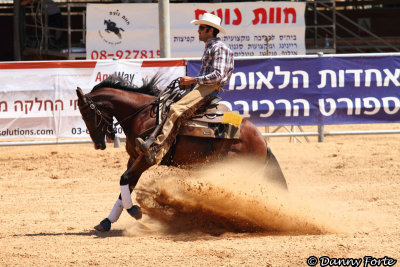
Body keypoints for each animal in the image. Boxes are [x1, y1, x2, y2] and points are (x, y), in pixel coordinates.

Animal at [76, 76, 288, 232]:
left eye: (88, 114)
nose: (98, 144)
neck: (141, 115)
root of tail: (262, 141)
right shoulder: (133, 158)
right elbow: (125, 183)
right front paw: (106, 222)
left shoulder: (147, 158)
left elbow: (126, 179)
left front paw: (135, 211)